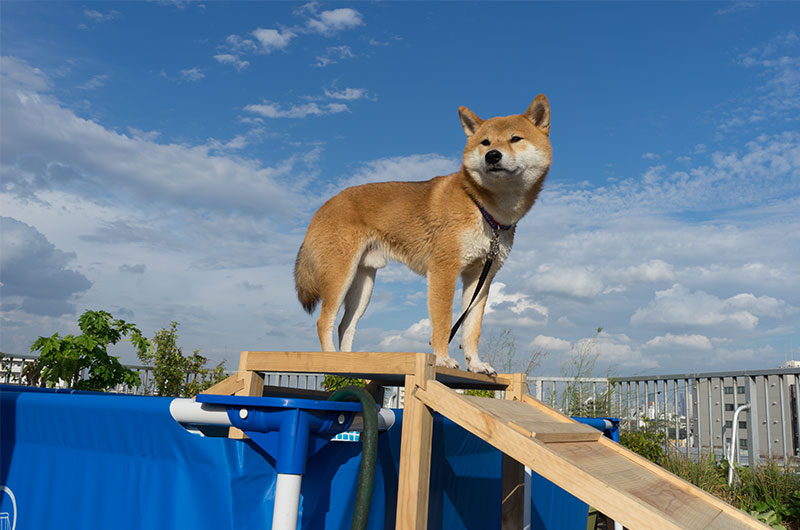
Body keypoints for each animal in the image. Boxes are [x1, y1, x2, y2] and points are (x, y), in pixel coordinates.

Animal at [294, 95, 552, 376]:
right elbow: (444, 322)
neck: (484, 208)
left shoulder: (481, 276)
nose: (492, 155)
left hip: (363, 284)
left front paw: (476, 364)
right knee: (325, 321)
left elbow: (471, 329)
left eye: (515, 138)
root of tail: (323, 207)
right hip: (340, 275)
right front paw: (442, 359)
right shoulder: (444, 269)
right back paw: (330, 362)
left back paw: (351, 367)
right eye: (485, 142)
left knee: (345, 326)